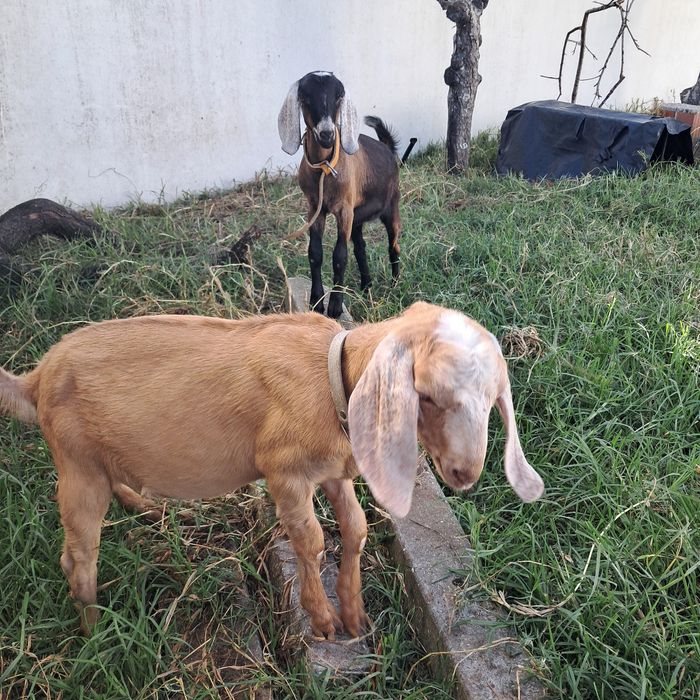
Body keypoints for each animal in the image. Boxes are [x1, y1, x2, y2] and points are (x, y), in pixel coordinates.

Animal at [0, 302, 544, 639]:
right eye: (426, 394)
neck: (333, 380)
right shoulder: (284, 472)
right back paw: (95, 631)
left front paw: (355, 616)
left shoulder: (335, 471)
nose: (465, 473)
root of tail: (36, 378)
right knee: (76, 557)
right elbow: (311, 539)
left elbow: (356, 528)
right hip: (76, 463)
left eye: (493, 399)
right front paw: (322, 621)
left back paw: (150, 510)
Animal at [278, 71, 402, 318]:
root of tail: (387, 149)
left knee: (393, 245)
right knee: (361, 248)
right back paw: (366, 285)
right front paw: (316, 302)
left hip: (391, 207)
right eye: (305, 96)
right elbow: (315, 253)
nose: (327, 134)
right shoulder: (314, 208)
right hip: (358, 218)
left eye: (338, 96)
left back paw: (395, 284)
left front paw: (335, 306)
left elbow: (340, 255)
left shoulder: (344, 210)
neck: (326, 168)